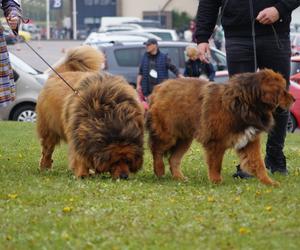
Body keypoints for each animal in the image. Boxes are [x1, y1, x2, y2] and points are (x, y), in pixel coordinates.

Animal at [36, 46, 144, 179]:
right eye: (115, 161)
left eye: (128, 161)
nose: (124, 176)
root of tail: (57, 75)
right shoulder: (78, 134)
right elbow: (80, 156)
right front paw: (82, 174)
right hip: (49, 129)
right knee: (47, 150)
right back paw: (45, 167)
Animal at [146, 69, 294, 186]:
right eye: (282, 91)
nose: (294, 99)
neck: (245, 103)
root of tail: (159, 87)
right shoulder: (216, 142)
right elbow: (216, 164)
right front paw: (216, 181)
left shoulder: (250, 141)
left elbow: (259, 164)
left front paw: (269, 182)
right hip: (168, 135)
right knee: (156, 150)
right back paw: (159, 170)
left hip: (184, 139)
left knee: (173, 159)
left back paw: (179, 178)